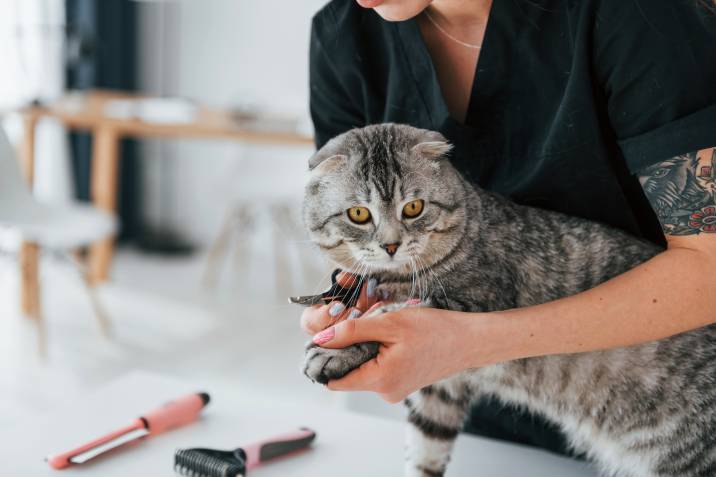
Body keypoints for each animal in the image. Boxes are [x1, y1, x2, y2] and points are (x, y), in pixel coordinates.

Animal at [300, 123, 716, 476]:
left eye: (413, 208)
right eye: (359, 214)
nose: (390, 245)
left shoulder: (473, 306)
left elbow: (386, 316)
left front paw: (336, 350)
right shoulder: (440, 387)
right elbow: (425, 449)